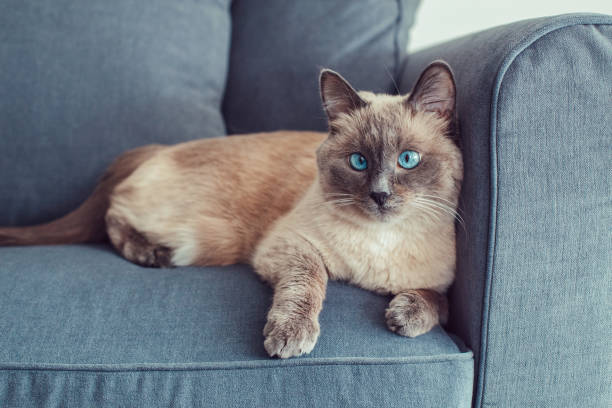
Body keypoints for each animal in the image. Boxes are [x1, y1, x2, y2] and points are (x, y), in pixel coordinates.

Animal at [0, 60, 462, 356]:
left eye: (407, 160)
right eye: (358, 162)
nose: (380, 195)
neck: (381, 243)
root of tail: (159, 148)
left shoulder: (443, 284)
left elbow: (439, 303)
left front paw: (404, 317)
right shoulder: (290, 246)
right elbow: (309, 283)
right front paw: (289, 337)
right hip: (208, 239)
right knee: (114, 217)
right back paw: (151, 255)